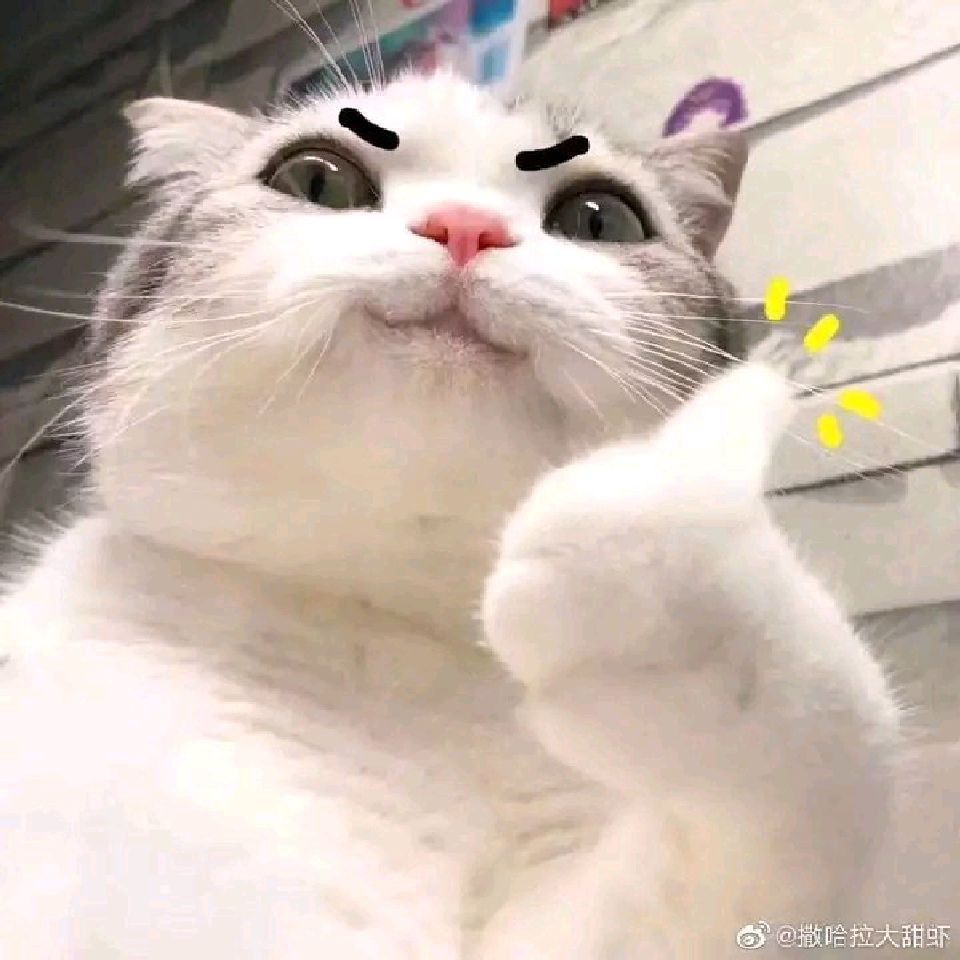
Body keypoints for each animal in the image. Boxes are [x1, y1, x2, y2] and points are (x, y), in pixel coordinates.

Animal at [0, 68, 949, 959]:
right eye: (316, 176)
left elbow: (836, 759)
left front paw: (674, 579)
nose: (465, 226)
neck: (399, 649)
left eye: (600, 218)